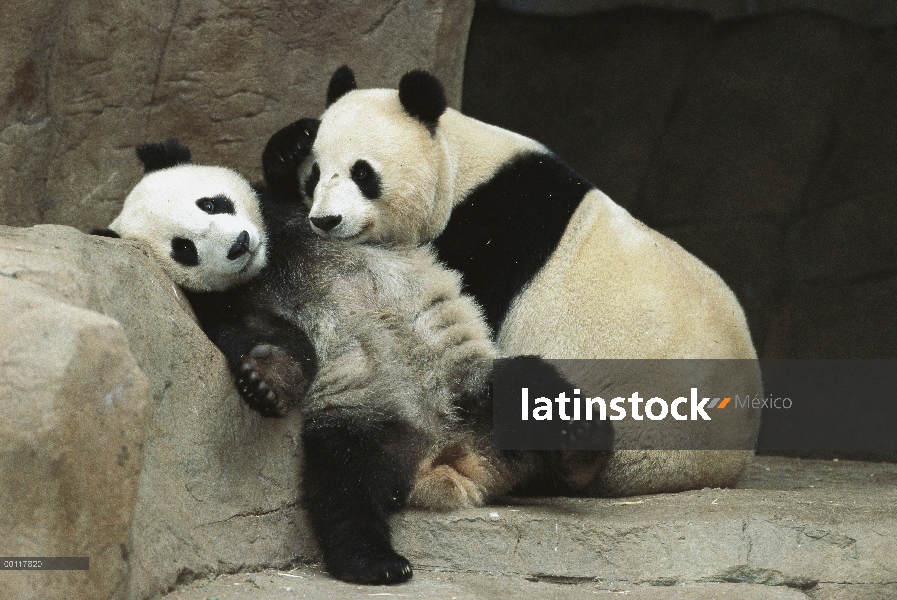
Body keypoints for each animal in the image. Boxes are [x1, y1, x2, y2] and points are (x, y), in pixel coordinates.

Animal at [94, 130, 604, 580]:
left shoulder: (294, 212)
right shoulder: (227, 300)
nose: (238, 245)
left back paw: (579, 444)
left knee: (530, 384)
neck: (272, 257)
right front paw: (265, 382)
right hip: (367, 422)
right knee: (343, 487)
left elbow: (295, 187)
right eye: (184, 247)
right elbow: (260, 333)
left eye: (213, 203)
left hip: (469, 380)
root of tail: (451, 455)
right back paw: (375, 563)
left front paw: (292, 146)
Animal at [290, 65, 760, 496]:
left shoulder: (491, 234)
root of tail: (720, 467)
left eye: (363, 173)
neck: (459, 168)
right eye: (315, 175)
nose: (326, 221)